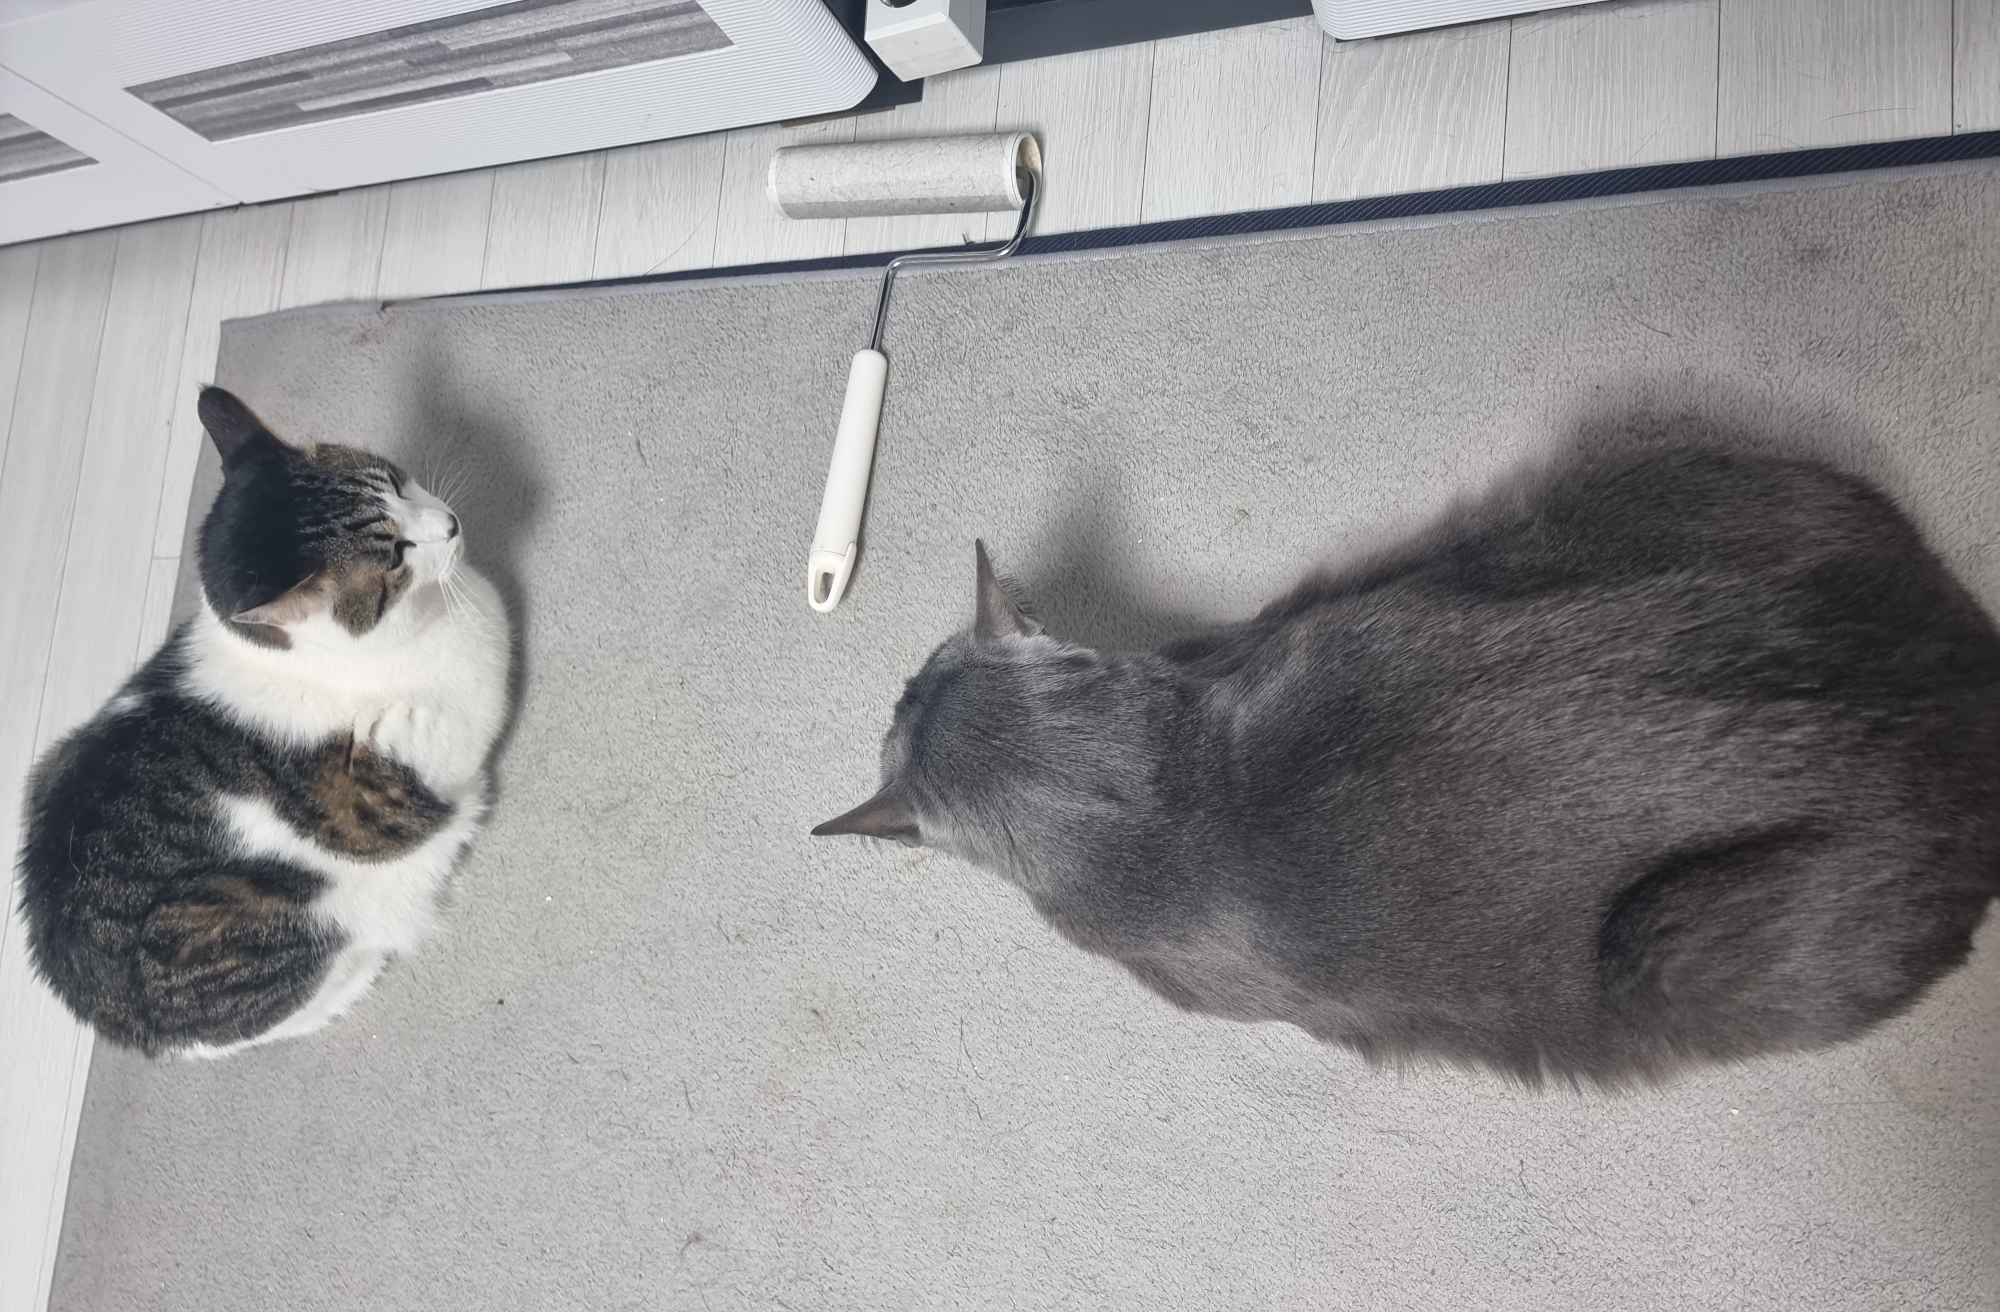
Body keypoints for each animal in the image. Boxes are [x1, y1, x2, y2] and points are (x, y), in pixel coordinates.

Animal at [17, 387, 511, 1058]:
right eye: (396, 554)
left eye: (395, 483)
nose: (452, 524)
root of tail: (115, 1023)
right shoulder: (389, 776)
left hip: (48, 762)